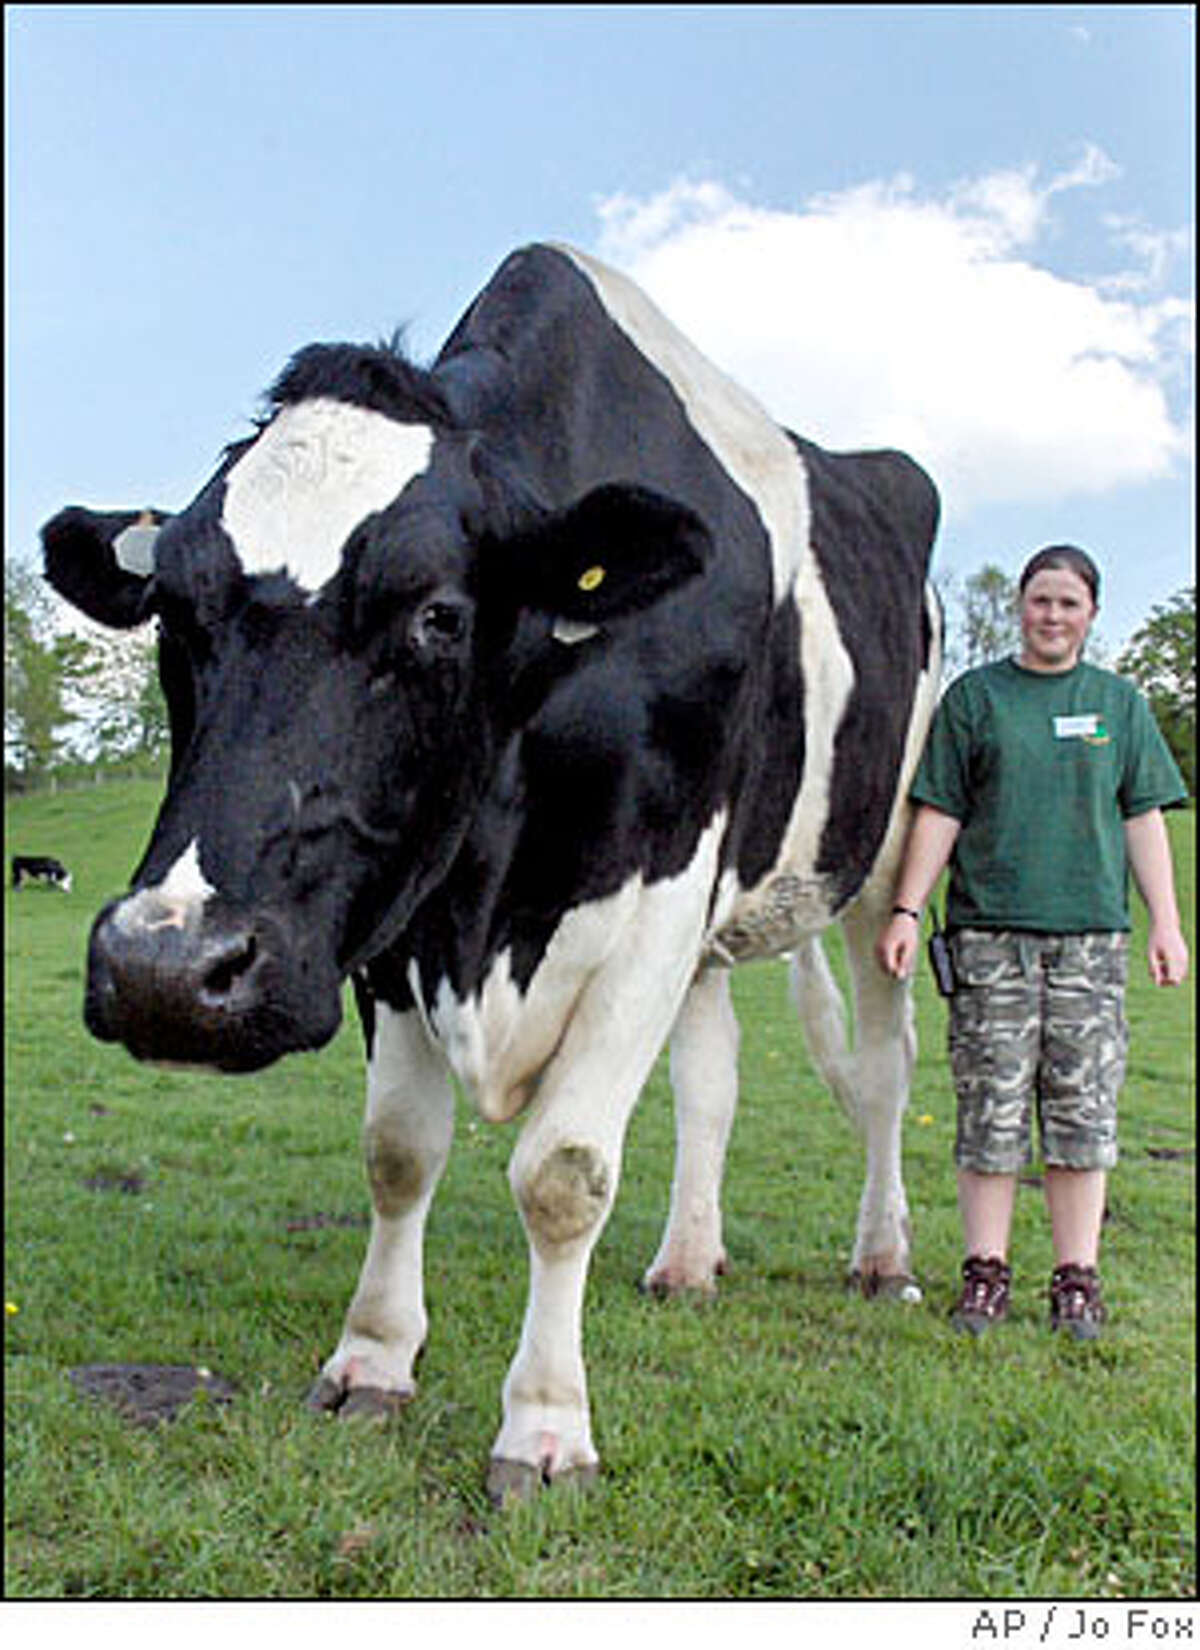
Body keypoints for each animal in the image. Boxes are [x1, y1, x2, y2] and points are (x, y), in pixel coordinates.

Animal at [42, 240, 944, 1498]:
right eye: (174, 611)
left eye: (437, 613)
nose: (167, 973)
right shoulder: (390, 905)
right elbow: (398, 1151)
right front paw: (372, 1361)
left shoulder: (659, 894)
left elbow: (563, 1174)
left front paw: (546, 1427)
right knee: (712, 1074)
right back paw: (688, 1260)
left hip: (887, 861)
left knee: (884, 1066)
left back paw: (881, 1255)